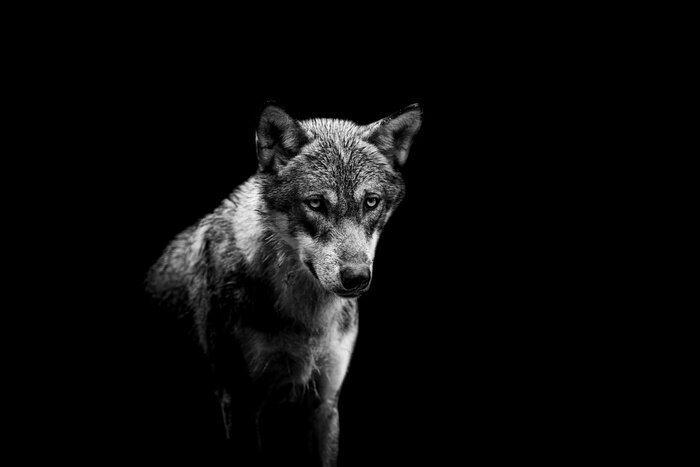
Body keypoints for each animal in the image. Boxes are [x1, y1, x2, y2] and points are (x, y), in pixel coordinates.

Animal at [146, 103, 421, 466]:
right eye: (316, 203)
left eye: (371, 202)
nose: (356, 277)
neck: (306, 320)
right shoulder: (239, 402)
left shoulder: (324, 404)